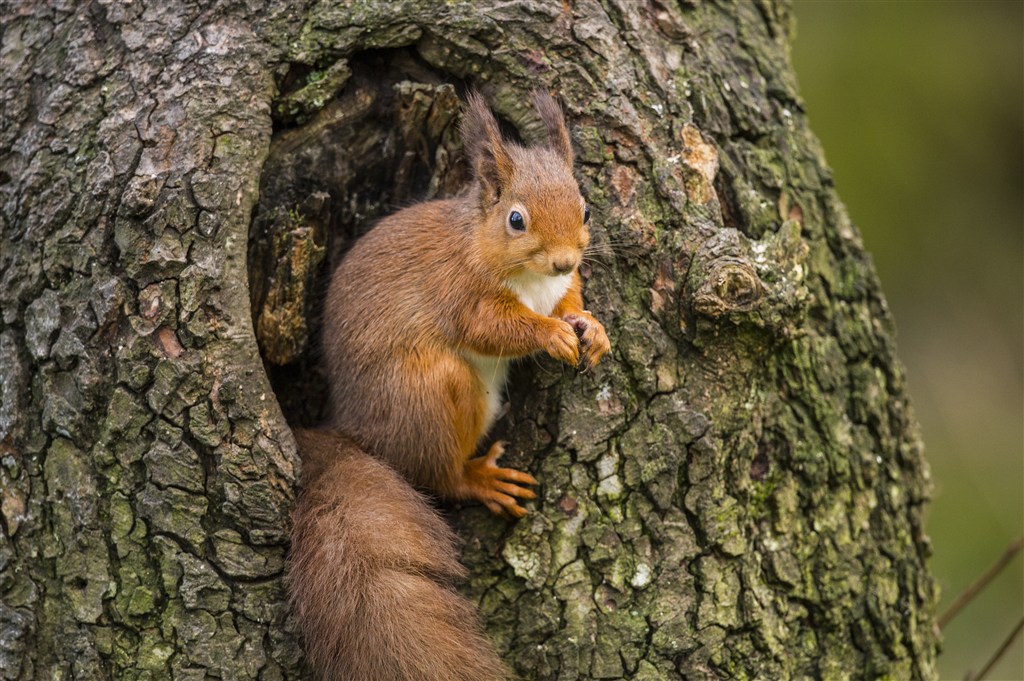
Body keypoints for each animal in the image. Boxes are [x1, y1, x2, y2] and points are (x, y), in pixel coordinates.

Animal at [284, 91, 610, 679]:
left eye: (587, 209)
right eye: (516, 219)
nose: (564, 259)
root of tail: (354, 430)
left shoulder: (559, 287)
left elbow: (571, 300)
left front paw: (592, 329)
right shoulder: (461, 293)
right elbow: (494, 329)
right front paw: (549, 334)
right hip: (432, 392)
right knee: (438, 476)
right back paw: (480, 479)